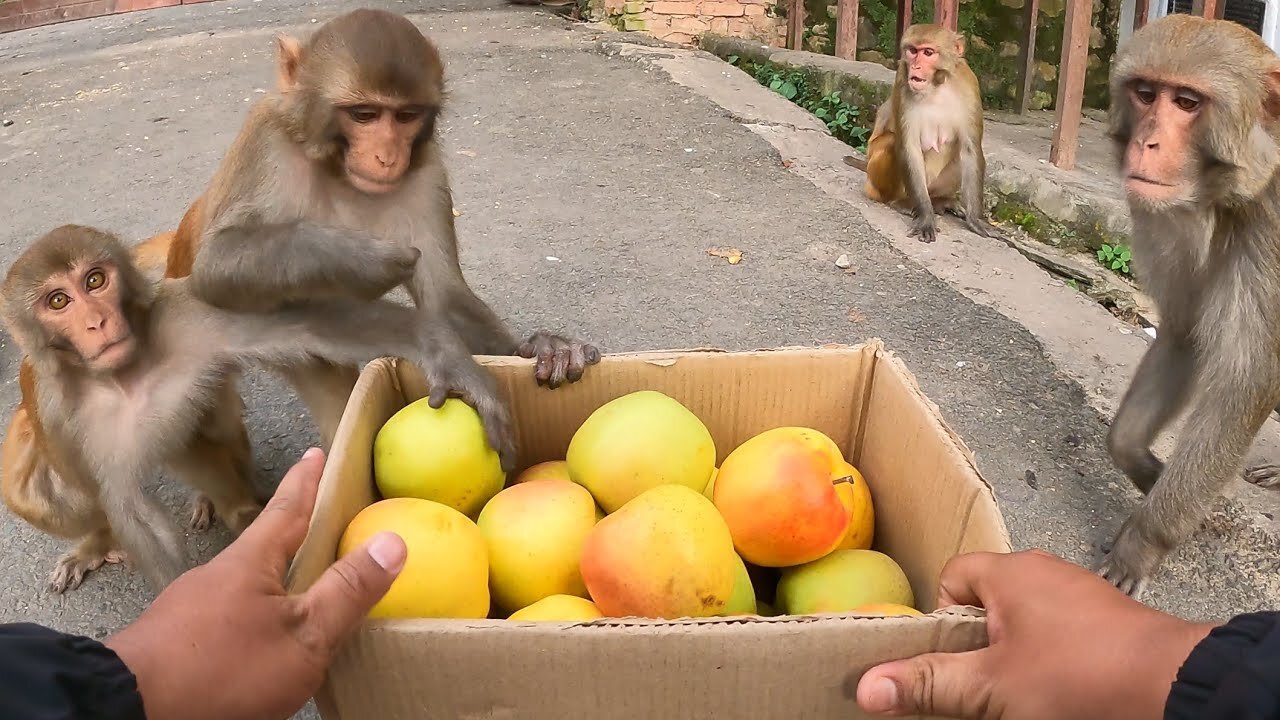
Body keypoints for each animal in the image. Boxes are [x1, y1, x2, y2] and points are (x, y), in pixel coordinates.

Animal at [0, 221, 483, 591]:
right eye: (58, 301)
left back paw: (234, 504)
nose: (96, 322)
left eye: (95, 280)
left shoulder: (184, 316)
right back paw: (102, 542)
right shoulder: (59, 418)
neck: (125, 377)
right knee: (46, 495)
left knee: (211, 428)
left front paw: (438, 350)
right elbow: (128, 511)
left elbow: (296, 330)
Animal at [156, 9, 599, 476]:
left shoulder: (427, 171)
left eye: (405, 116)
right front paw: (355, 259)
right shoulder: (266, 140)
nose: (387, 157)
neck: (337, 170)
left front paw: (544, 349)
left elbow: (443, 296)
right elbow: (215, 267)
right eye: (364, 114)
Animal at [844, 23, 1003, 242]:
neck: (936, 85)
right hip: (880, 182)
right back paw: (901, 202)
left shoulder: (969, 84)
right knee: (890, 143)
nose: (916, 66)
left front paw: (976, 220)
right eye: (912, 51)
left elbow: (970, 149)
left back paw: (941, 201)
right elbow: (909, 147)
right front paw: (926, 218)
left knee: (958, 153)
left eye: (928, 52)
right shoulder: (902, 80)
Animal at [1095, 14, 1280, 594]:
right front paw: (1145, 468)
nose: (1147, 143)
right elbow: (1183, 335)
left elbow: (1246, 383)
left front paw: (1144, 543)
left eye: (1187, 102)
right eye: (1145, 93)